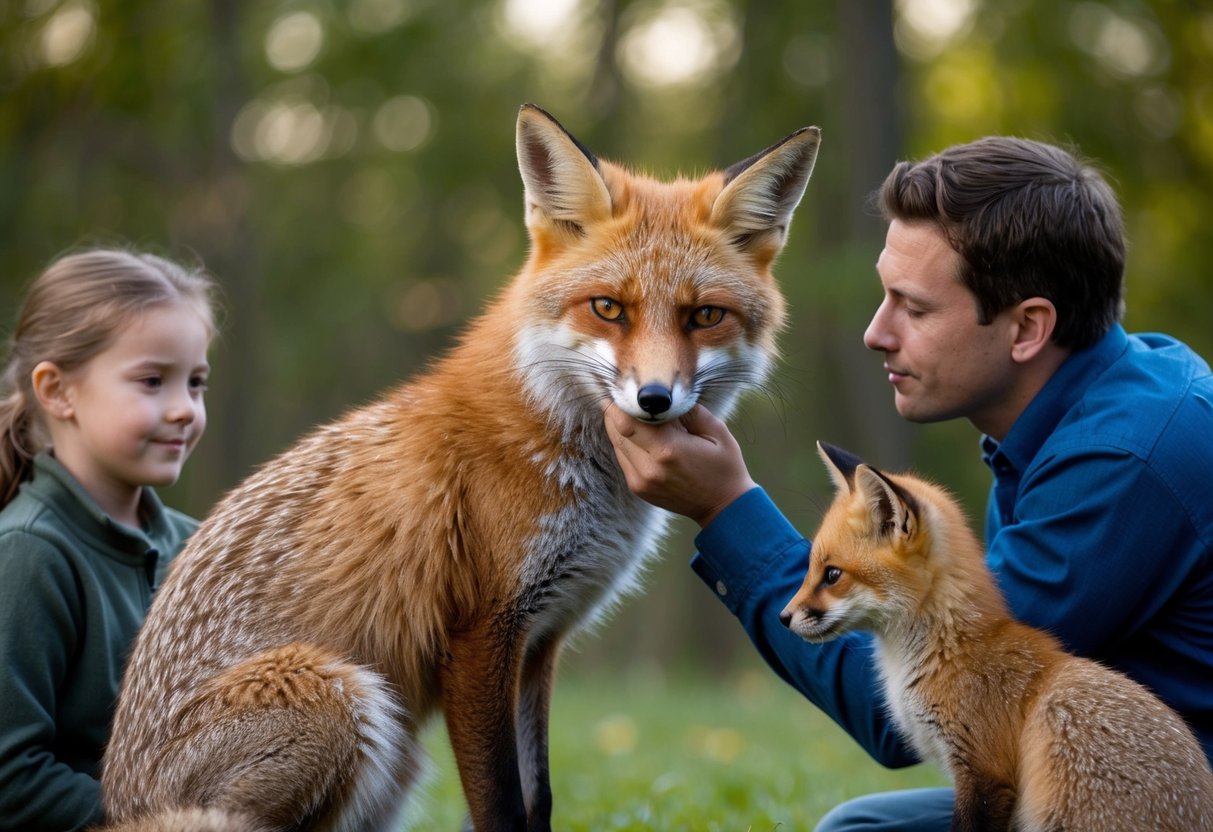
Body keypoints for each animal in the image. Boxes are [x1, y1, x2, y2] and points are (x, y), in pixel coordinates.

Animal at [98, 104, 821, 832]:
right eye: (608, 308)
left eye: (704, 316)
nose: (654, 399)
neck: (567, 452)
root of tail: (117, 802)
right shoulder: (480, 633)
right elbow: (501, 805)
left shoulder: (542, 639)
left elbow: (539, 799)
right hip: (342, 695)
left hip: (393, 757)